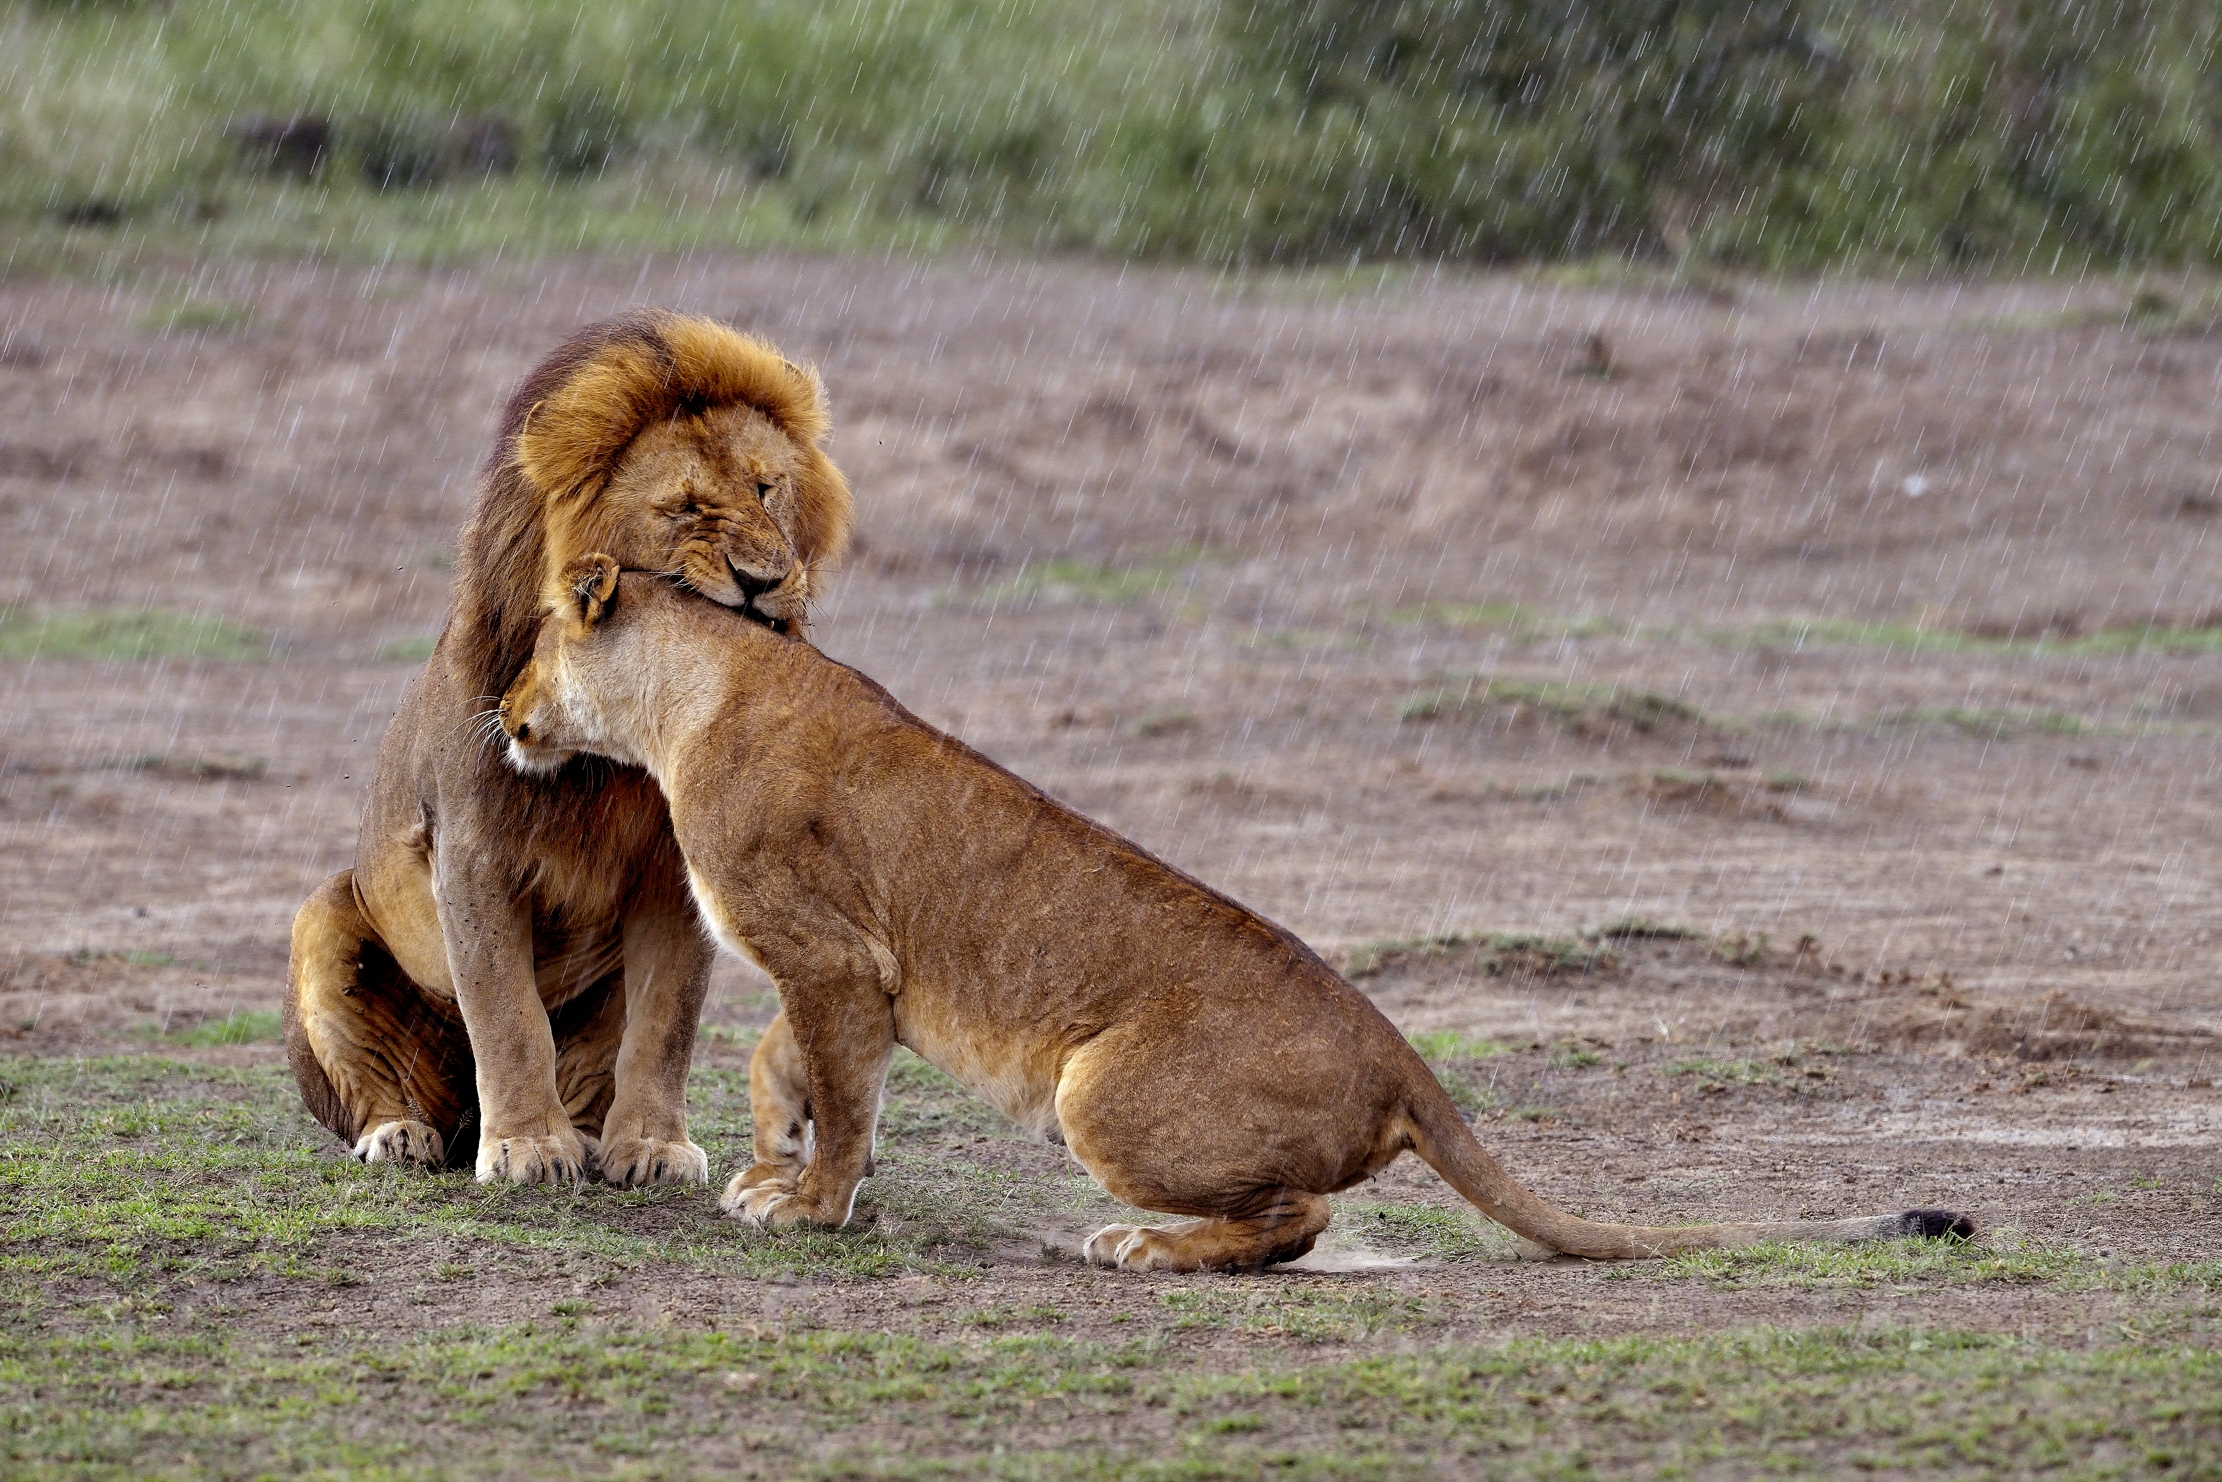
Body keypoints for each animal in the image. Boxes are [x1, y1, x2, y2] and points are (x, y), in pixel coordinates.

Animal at [283, 310, 851, 1187]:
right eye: (686, 507)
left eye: (766, 488)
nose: (763, 579)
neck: (619, 730)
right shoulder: (471, 854)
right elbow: (507, 1015)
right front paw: (525, 1147)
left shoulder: (672, 875)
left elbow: (667, 1021)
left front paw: (650, 1145)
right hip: (324, 919)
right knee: (379, 1089)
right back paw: (404, 1134)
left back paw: (587, 1136)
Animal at [495, 555, 1976, 1267]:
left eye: (530, 648)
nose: (499, 714)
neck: (684, 700)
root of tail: (1401, 1054)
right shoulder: (847, 970)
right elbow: (780, 1061)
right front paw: (774, 1160)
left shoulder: (830, 951)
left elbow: (842, 1095)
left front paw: (810, 1205)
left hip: (1100, 1093)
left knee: (1297, 1216)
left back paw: (1144, 1246)